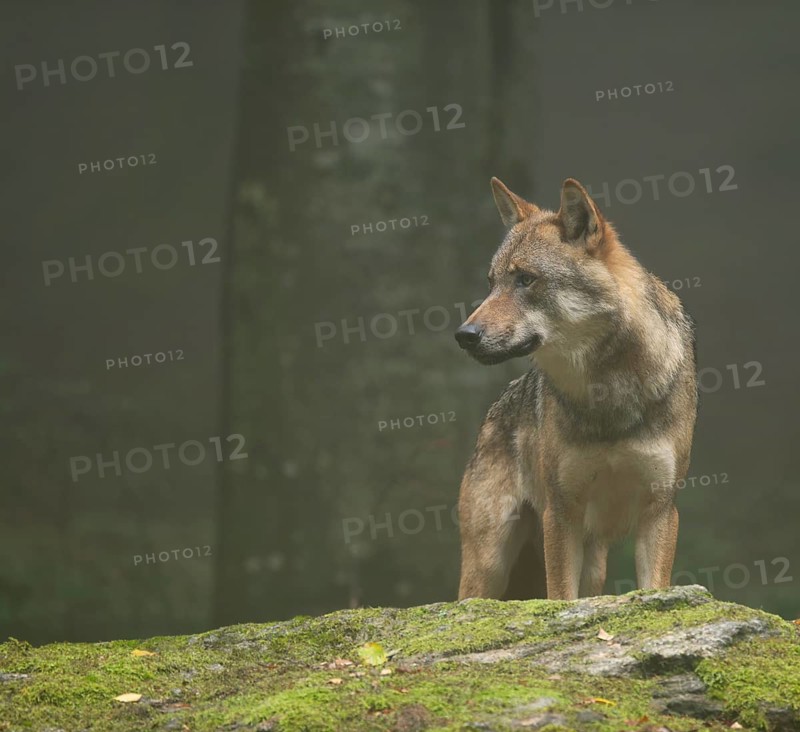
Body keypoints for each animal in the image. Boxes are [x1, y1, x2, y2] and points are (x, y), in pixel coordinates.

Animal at [454, 177, 697, 601]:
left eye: (525, 279)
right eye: (492, 283)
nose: (464, 335)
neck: (608, 392)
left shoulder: (660, 510)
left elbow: (653, 586)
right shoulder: (561, 510)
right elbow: (560, 598)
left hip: (594, 566)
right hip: (488, 565)